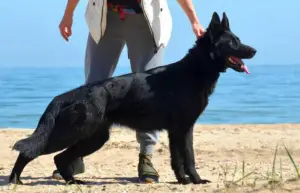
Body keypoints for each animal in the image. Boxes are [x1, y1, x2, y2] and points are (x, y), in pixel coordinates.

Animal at [8, 12, 255, 185]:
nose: (254, 51)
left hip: (93, 138)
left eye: (238, 40)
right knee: (30, 151)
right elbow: (189, 158)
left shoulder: (177, 131)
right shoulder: (183, 129)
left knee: (60, 158)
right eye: (232, 43)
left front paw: (183, 181)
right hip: (72, 134)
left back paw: (73, 181)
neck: (195, 70)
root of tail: (67, 96)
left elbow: (178, 160)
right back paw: (16, 179)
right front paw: (194, 180)